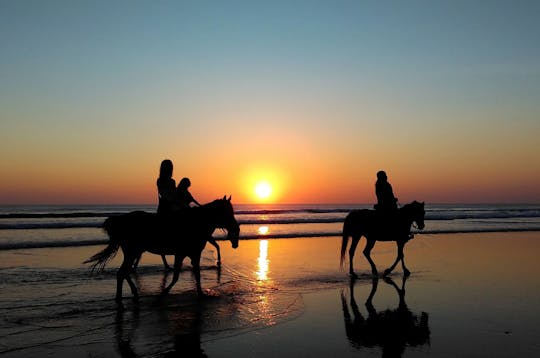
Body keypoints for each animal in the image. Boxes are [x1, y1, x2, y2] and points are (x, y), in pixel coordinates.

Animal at [84, 196, 240, 302]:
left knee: (124, 272)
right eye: (227, 212)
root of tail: (120, 220)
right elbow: (178, 276)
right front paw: (165, 292)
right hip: (132, 251)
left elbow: (195, 274)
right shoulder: (183, 254)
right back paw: (123, 296)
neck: (195, 223)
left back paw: (132, 293)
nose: (236, 229)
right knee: (122, 272)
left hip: (133, 252)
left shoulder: (191, 254)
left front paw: (200, 294)